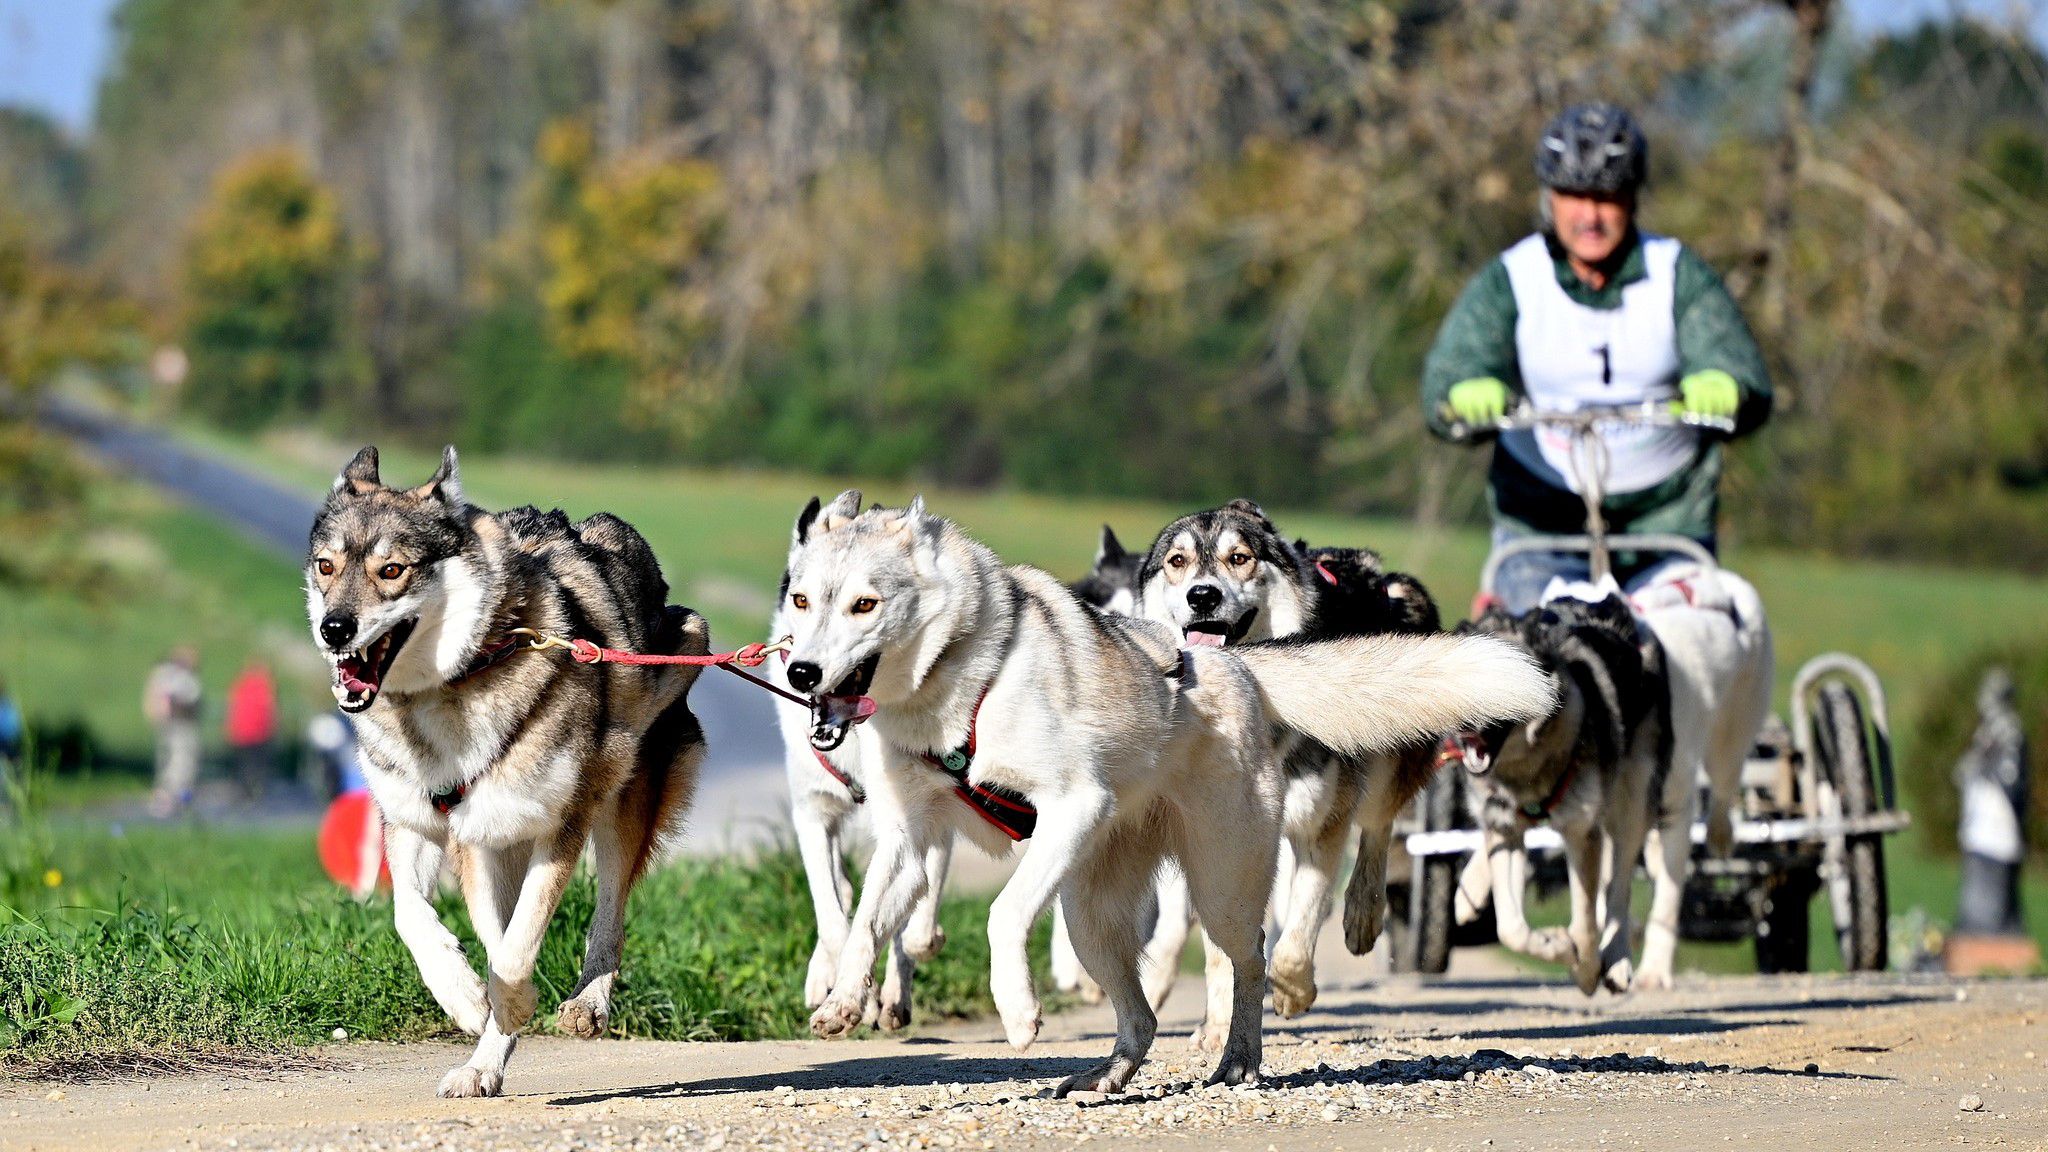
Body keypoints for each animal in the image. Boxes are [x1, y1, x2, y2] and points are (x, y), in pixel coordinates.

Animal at [303, 440, 712, 1090]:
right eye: (326, 566)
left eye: (392, 571)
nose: (334, 629)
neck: (445, 692)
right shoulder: (436, 829)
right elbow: (416, 919)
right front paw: (469, 1001)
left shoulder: (559, 826)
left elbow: (517, 949)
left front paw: (514, 1004)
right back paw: (482, 1066)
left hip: (622, 793)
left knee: (612, 910)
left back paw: (586, 1004)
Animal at [774, 487, 1540, 1090]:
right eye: (802, 600)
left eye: (865, 604)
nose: (801, 673)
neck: (960, 685)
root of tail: (1242, 669)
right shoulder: (910, 839)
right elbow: (865, 923)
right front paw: (842, 1000)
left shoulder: (1074, 804)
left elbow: (1003, 913)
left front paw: (1017, 1010)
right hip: (1091, 918)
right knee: (1139, 1013)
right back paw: (1108, 1072)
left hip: (1222, 884)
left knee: (1251, 958)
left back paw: (1239, 1056)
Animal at [1458, 569, 1777, 992]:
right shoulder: (1506, 827)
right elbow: (1512, 927)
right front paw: (1557, 945)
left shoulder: (1591, 831)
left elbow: (1601, 914)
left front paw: (1591, 965)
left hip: (1697, 761)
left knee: (1631, 876)